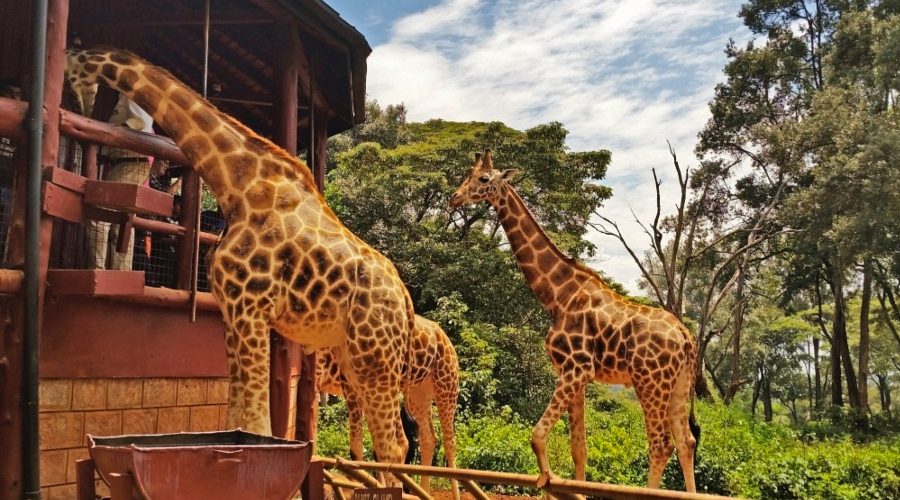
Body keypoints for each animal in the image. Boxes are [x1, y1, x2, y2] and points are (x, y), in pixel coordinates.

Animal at [64, 48, 415, 466]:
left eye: (72, 72)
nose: (79, 109)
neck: (236, 185)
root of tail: (405, 301)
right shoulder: (231, 313)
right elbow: (235, 420)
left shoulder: (252, 310)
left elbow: (259, 425)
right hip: (353, 354)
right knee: (390, 438)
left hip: (374, 353)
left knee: (394, 443)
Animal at [318, 314, 460, 499]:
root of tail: (444, 336)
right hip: (418, 393)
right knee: (428, 438)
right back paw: (423, 492)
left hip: (446, 383)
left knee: (449, 443)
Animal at [449, 150, 700, 492]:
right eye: (467, 175)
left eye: (483, 178)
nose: (454, 197)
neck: (557, 295)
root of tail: (686, 338)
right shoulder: (575, 374)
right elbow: (579, 448)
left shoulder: (575, 368)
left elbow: (537, 436)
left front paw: (546, 477)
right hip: (678, 384)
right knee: (687, 441)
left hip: (650, 381)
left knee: (661, 444)